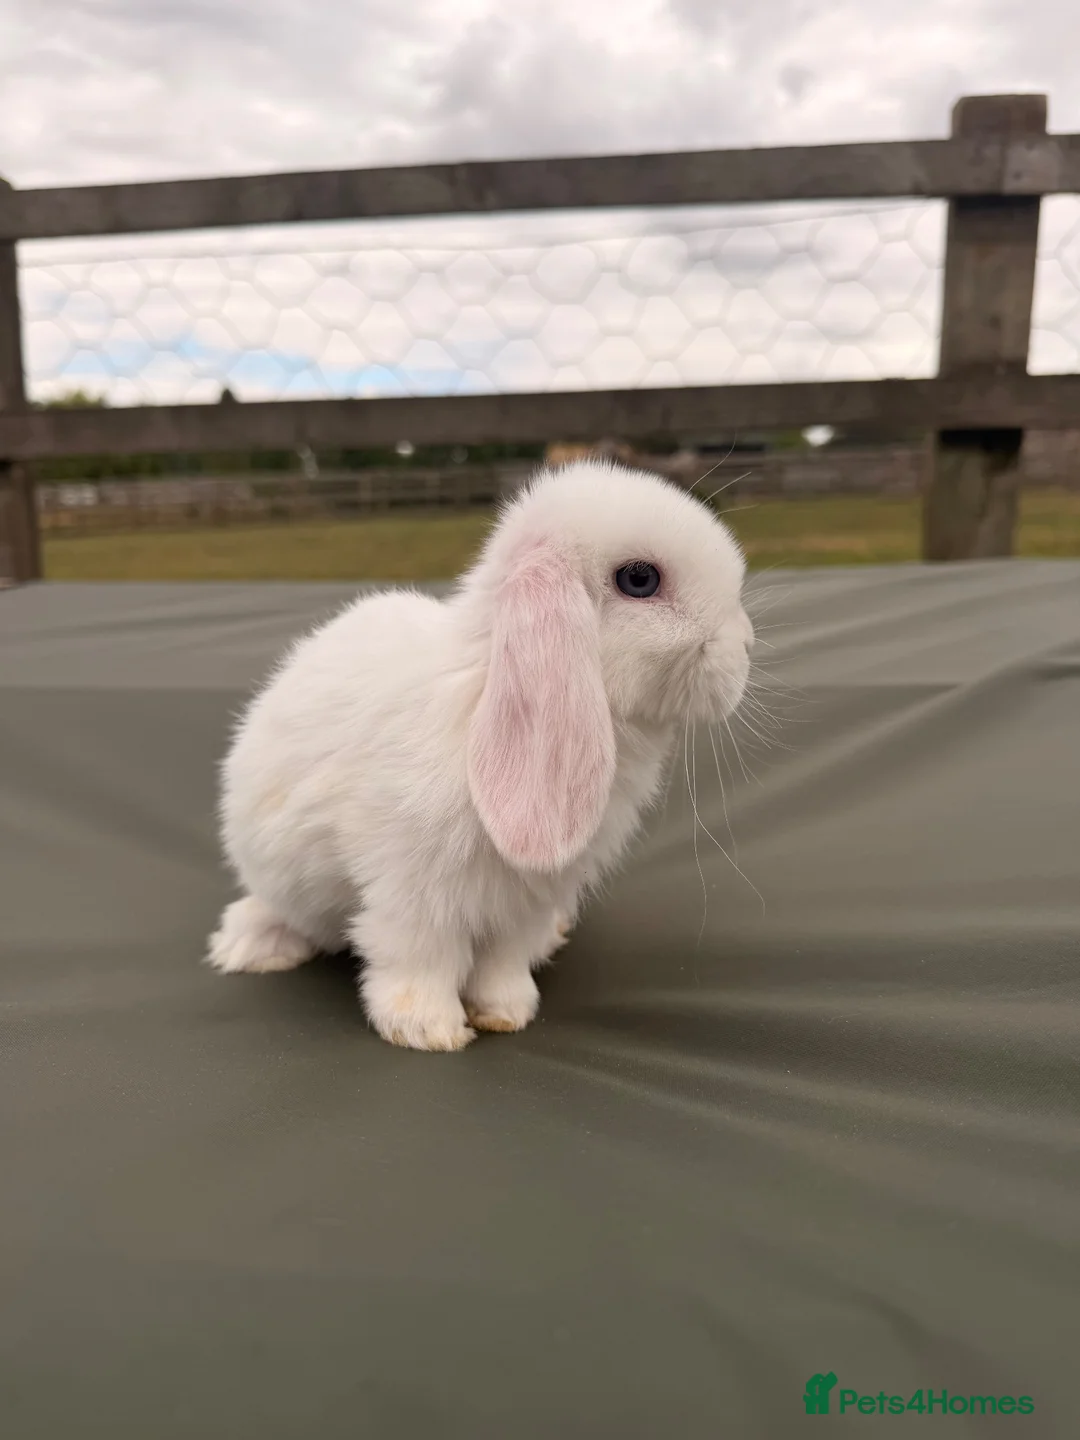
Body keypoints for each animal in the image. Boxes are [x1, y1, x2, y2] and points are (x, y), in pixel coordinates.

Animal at [206, 458, 754, 1051]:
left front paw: (506, 1013)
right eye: (639, 579)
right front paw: (428, 1030)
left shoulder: (527, 901)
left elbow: (503, 962)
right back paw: (252, 947)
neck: (481, 689)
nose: (745, 645)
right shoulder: (414, 890)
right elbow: (419, 956)